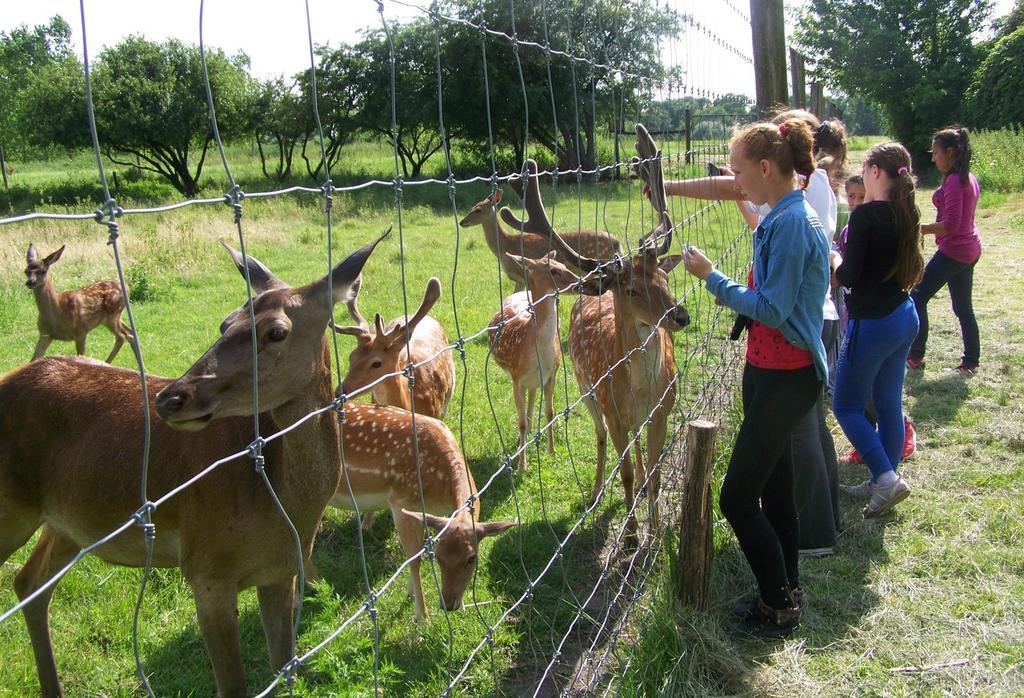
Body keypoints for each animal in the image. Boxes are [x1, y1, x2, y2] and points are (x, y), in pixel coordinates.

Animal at [1, 235, 385, 695]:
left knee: (30, 583)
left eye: (276, 332)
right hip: (12, 508)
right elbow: (234, 686)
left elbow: (283, 667)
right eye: (225, 323)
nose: (170, 398)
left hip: (68, 524)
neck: (286, 513)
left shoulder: (282, 570)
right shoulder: (205, 569)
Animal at [458, 186, 618, 288]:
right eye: (472, 207)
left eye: (478, 210)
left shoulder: (525, 274)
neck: (505, 246)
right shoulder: (518, 280)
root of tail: (617, 242)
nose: (462, 222)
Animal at [485, 249, 598, 466]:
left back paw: (531, 432)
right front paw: (522, 464)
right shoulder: (516, 377)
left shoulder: (552, 374)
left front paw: (551, 452)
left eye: (562, 265)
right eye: (553, 270)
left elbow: (550, 412)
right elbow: (520, 422)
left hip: (536, 379)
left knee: (532, 395)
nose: (581, 282)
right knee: (529, 398)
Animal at [516, 124, 692, 528]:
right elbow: (623, 472)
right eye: (631, 289)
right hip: (585, 387)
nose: (680, 316)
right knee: (598, 437)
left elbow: (657, 473)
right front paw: (631, 534)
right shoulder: (613, 411)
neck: (643, 390)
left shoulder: (663, 411)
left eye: (664, 277)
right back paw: (596, 493)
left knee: (637, 447)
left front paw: (656, 528)